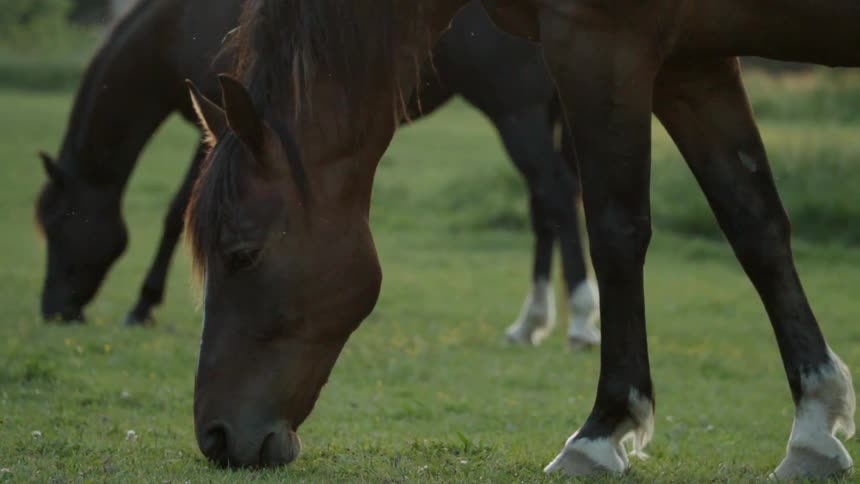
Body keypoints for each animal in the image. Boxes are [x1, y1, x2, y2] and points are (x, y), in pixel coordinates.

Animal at [34, 0, 598, 348]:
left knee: (554, 192)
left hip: (517, 113)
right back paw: (531, 322)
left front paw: (142, 305)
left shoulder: (227, 127)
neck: (178, 23)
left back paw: (581, 319)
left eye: (58, 226)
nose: (54, 309)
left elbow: (177, 212)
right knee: (546, 203)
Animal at [184, 0, 857, 478]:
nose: (215, 436)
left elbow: (615, 230)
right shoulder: (692, 60)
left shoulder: (600, 41)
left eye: (241, 254)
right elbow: (754, 224)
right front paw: (814, 426)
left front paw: (601, 431)